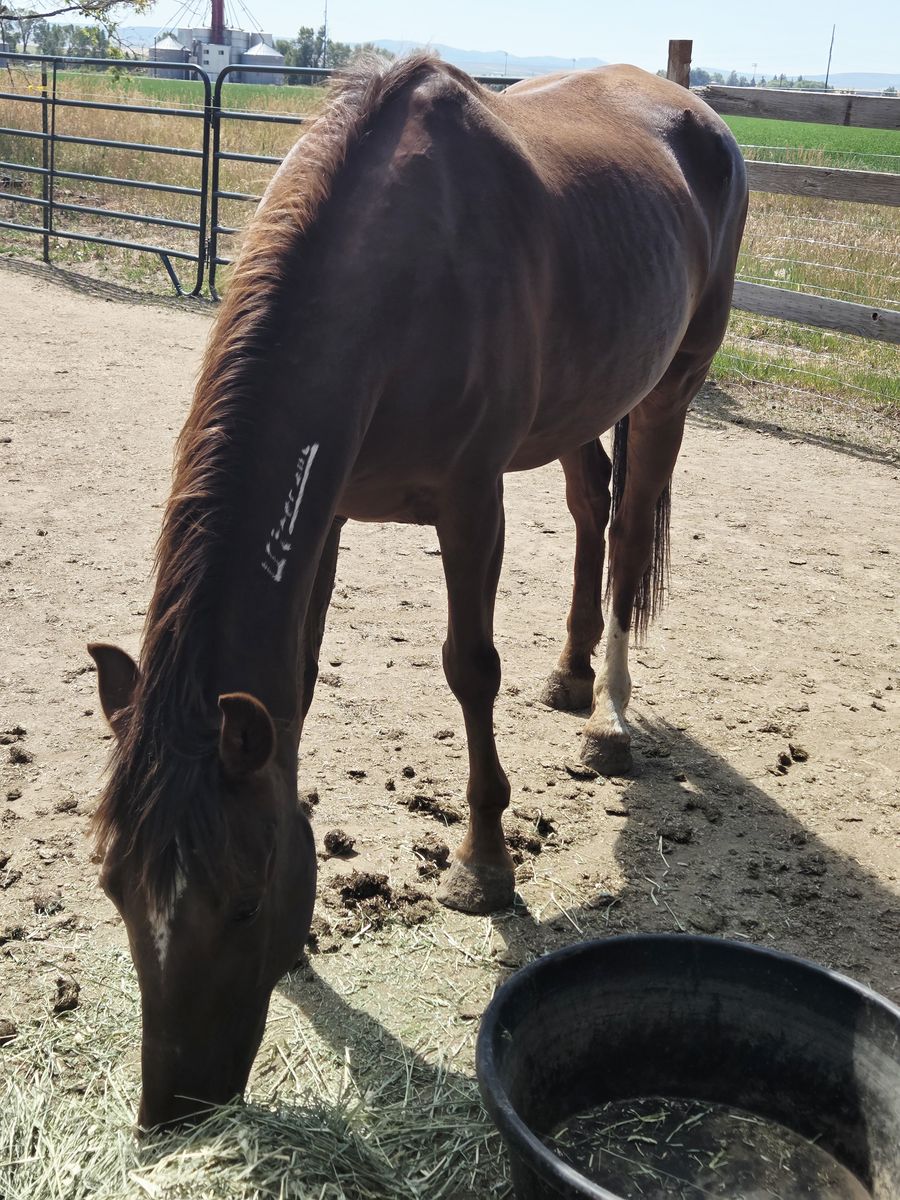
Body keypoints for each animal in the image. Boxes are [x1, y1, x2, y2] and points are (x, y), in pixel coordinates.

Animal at [87, 53, 747, 1128]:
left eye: (242, 899)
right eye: (115, 887)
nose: (174, 1108)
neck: (394, 275)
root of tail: (694, 110)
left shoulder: (472, 502)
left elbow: (469, 669)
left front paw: (485, 865)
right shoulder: (331, 515)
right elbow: (298, 684)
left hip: (672, 386)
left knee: (628, 528)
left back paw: (608, 716)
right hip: (583, 403)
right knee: (594, 507)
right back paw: (569, 675)